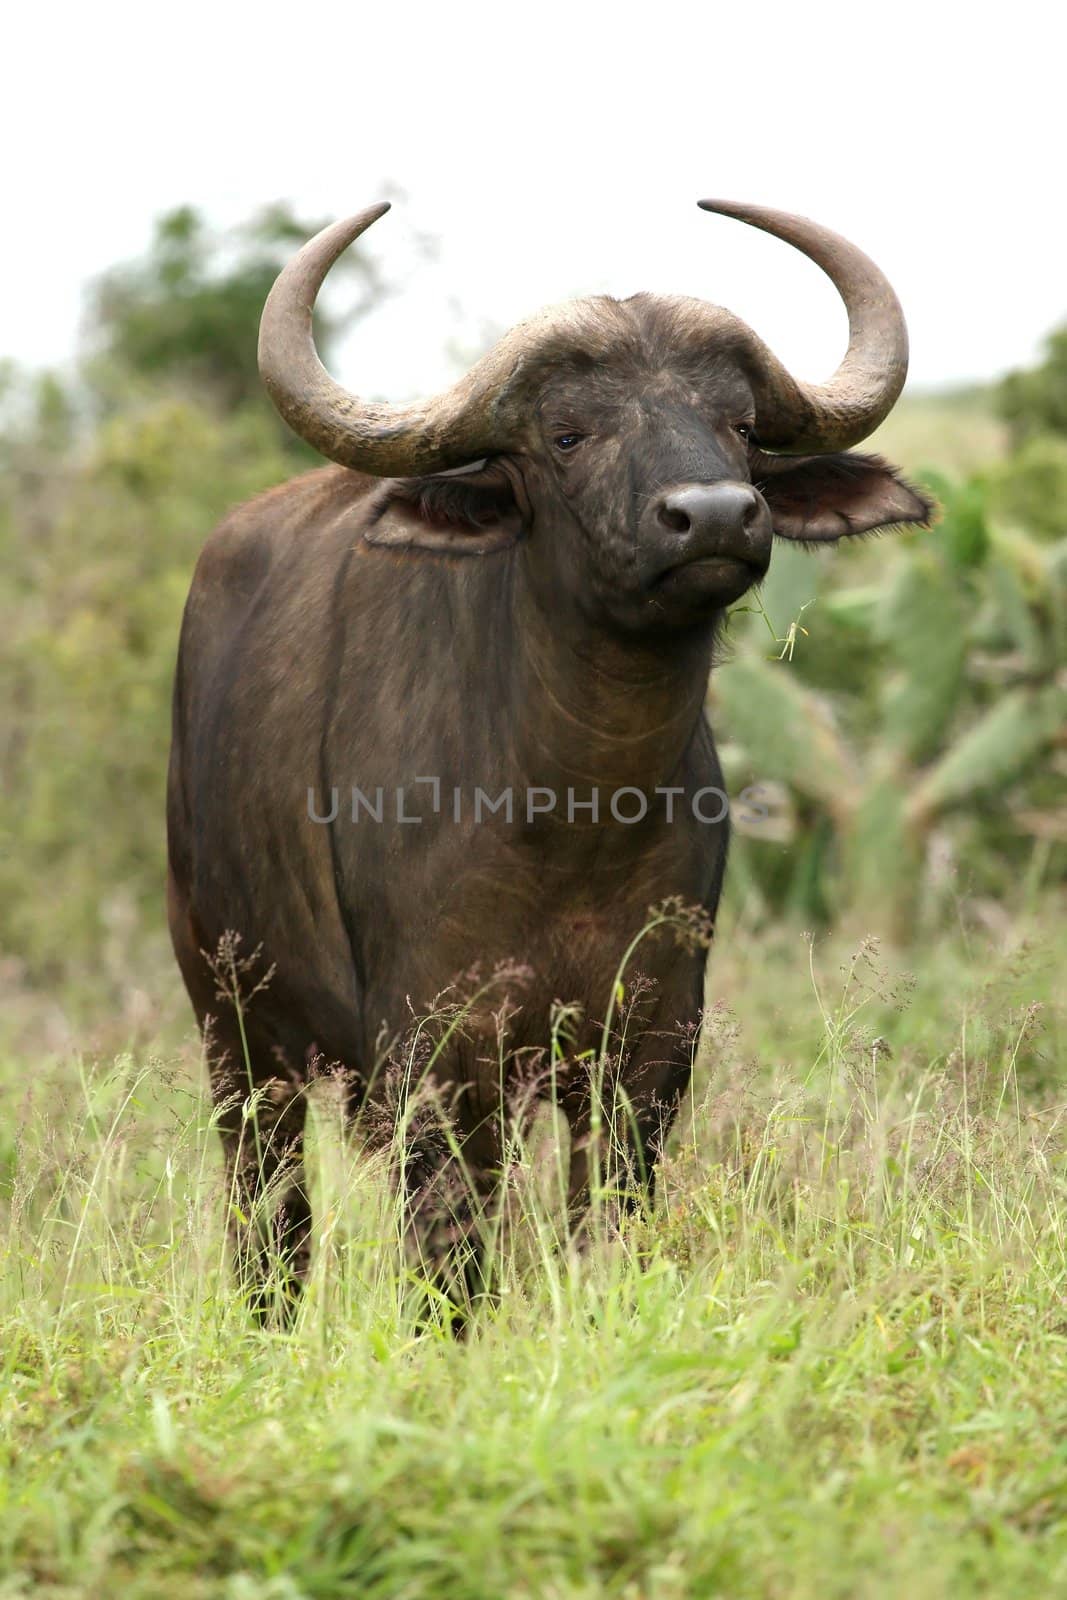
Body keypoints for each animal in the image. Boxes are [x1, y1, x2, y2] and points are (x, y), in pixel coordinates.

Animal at [168, 200, 934, 1312]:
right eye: (566, 433)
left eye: (740, 424)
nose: (713, 514)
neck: (576, 811)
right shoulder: (434, 1057)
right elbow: (451, 1261)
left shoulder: (648, 1050)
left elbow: (601, 1225)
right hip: (232, 1031)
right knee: (272, 1217)